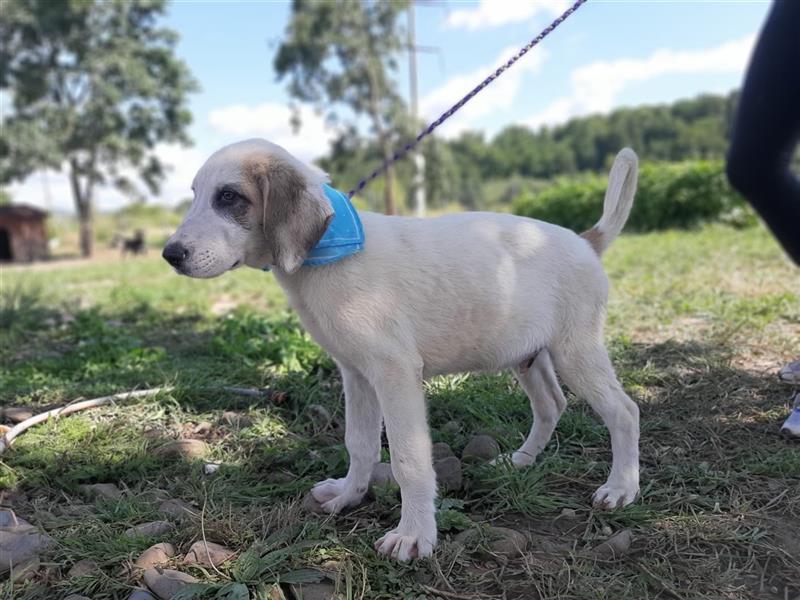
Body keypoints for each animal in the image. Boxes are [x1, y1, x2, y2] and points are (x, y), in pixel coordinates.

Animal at [166, 139, 640, 564]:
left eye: (229, 197)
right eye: (196, 194)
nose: (170, 254)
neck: (329, 253)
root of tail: (585, 240)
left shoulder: (394, 373)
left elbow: (409, 461)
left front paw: (414, 535)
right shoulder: (356, 374)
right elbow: (359, 444)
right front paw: (349, 495)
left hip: (576, 351)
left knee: (624, 410)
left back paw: (621, 487)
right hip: (528, 354)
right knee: (551, 404)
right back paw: (521, 460)